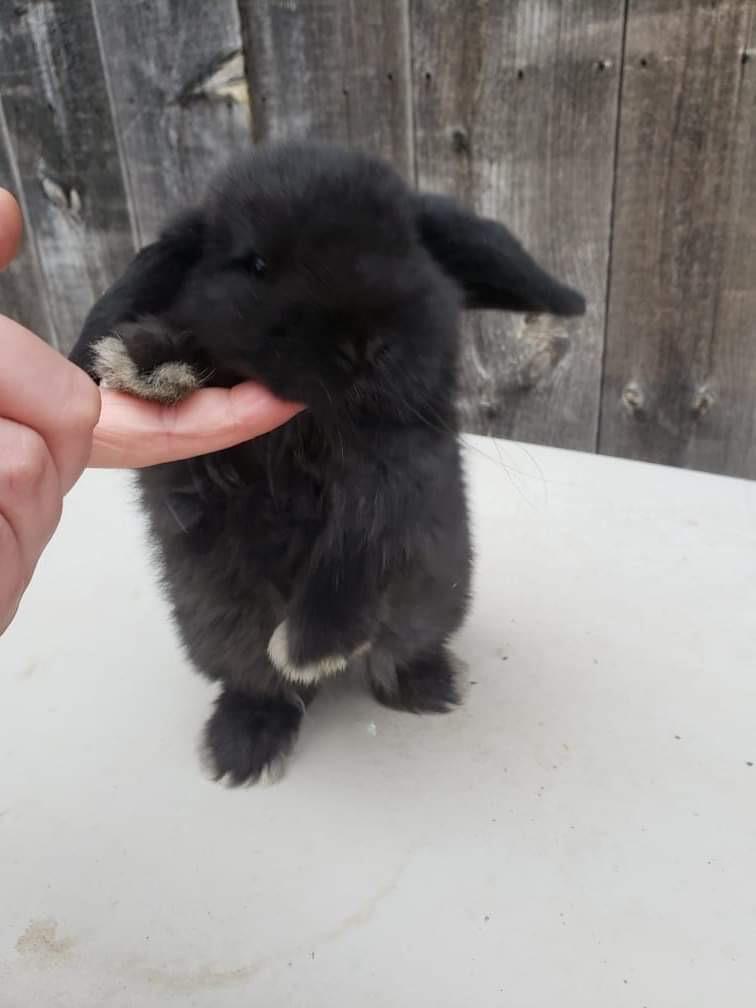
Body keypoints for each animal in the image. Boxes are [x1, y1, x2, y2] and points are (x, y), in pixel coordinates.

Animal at [69, 141, 585, 785]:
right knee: (259, 685)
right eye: (255, 264)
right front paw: (148, 361)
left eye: (407, 247)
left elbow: (364, 531)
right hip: (213, 629)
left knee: (398, 653)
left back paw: (426, 684)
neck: (315, 421)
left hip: (434, 601)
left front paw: (315, 646)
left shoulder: (408, 465)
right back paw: (242, 745)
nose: (363, 340)